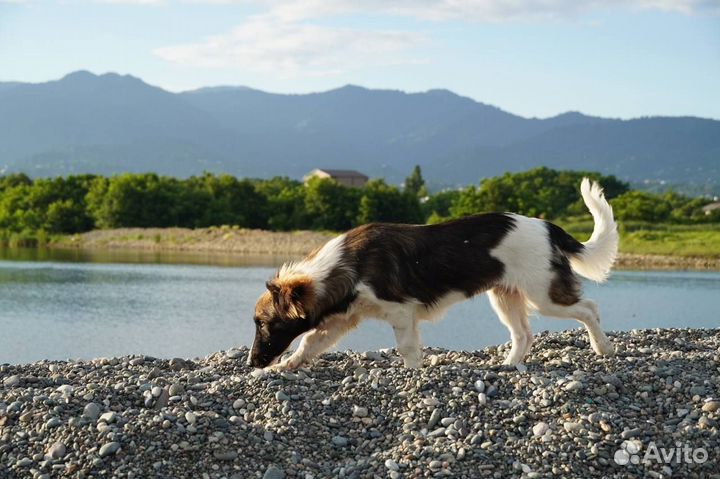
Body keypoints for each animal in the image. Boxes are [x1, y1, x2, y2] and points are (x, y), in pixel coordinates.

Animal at [249, 180, 620, 372]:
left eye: (264, 323)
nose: (252, 363)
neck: (349, 265)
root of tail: (548, 227)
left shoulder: (401, 313)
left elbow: (407, 349)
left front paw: (414, 375)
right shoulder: (342, 319)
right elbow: (308, 344)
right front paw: (283, 367)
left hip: (543, 294)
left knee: (589, 309)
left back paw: (602, 348)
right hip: (504, 297)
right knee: (523, 335)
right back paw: (506, 365)